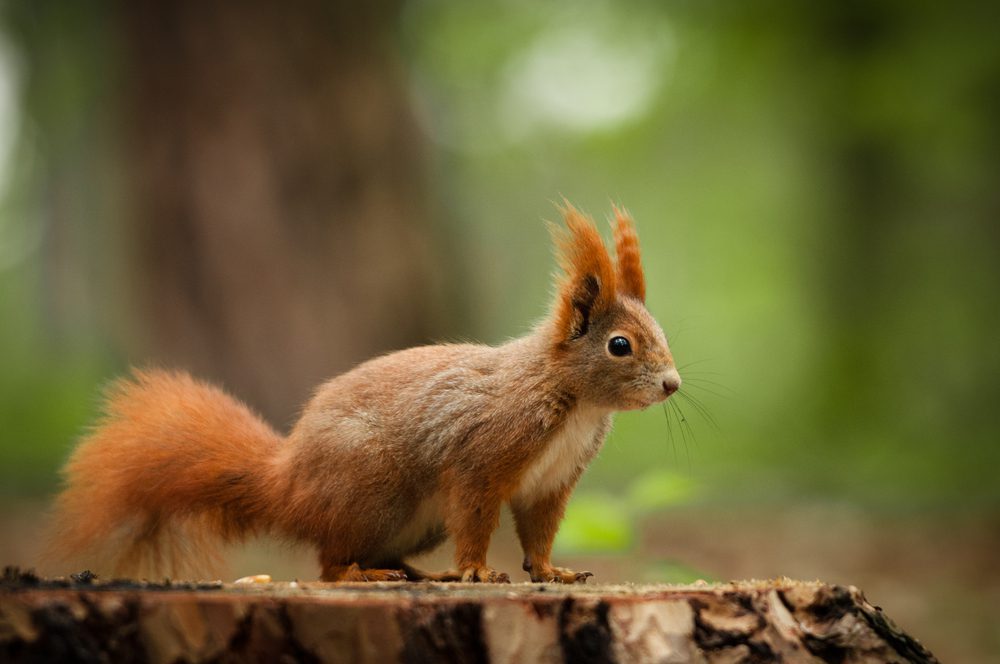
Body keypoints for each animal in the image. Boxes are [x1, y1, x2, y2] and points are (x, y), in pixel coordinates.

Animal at [50, 201, 684, 580]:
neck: (572, 399)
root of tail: (287, 485)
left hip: (414, 519)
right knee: (329, 565)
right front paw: (477, 572)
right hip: (371, 488)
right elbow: (477, 517)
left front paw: (551, 572)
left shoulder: (550, 484)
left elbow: (539, 533)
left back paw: (417, 574)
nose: (672, 384)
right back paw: (368, 574)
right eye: (620, 345)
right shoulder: (480, 460)